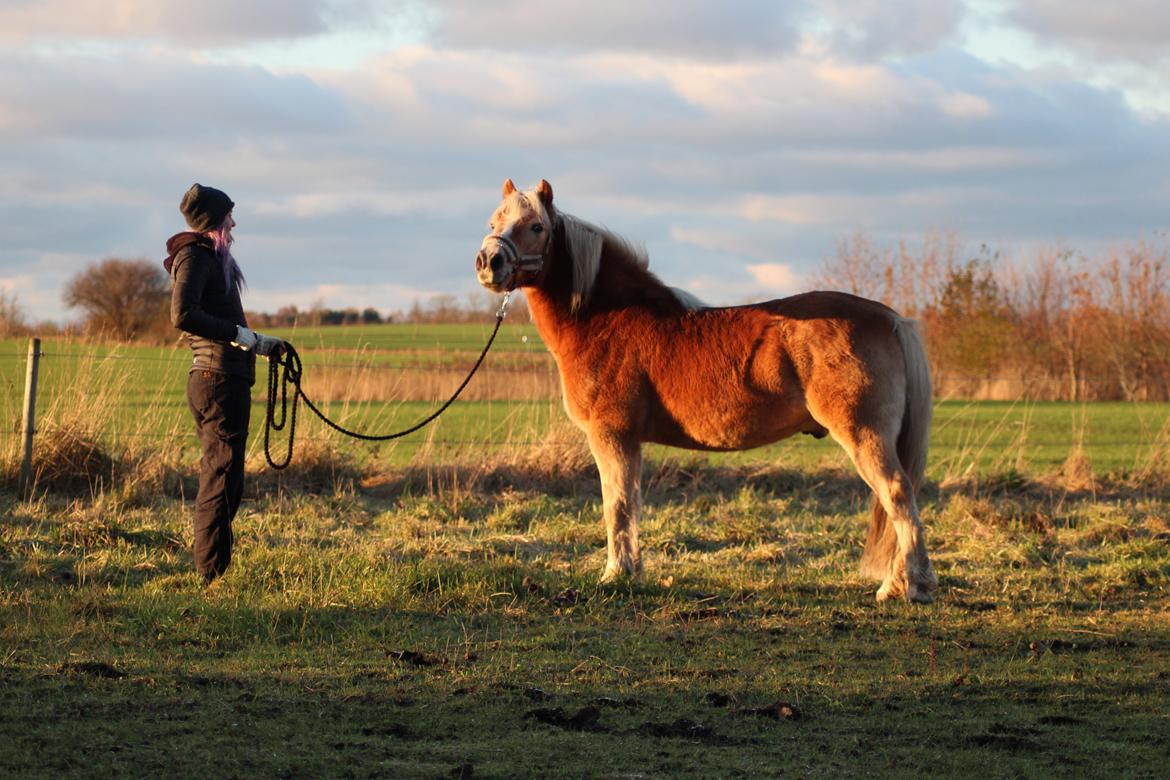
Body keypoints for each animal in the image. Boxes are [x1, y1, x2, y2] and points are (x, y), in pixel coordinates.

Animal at [470, 178, 935, 603]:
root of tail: (891, 318)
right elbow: (630, 503)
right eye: (494, 222)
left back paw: (911, 587)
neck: (608, 319)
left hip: (864, 435)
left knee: (898, 496)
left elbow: (616, 505)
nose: (488, 260)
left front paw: (616, 574)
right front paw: (631, 571)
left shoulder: (612, 437)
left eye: (535, 226)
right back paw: (900, 582)